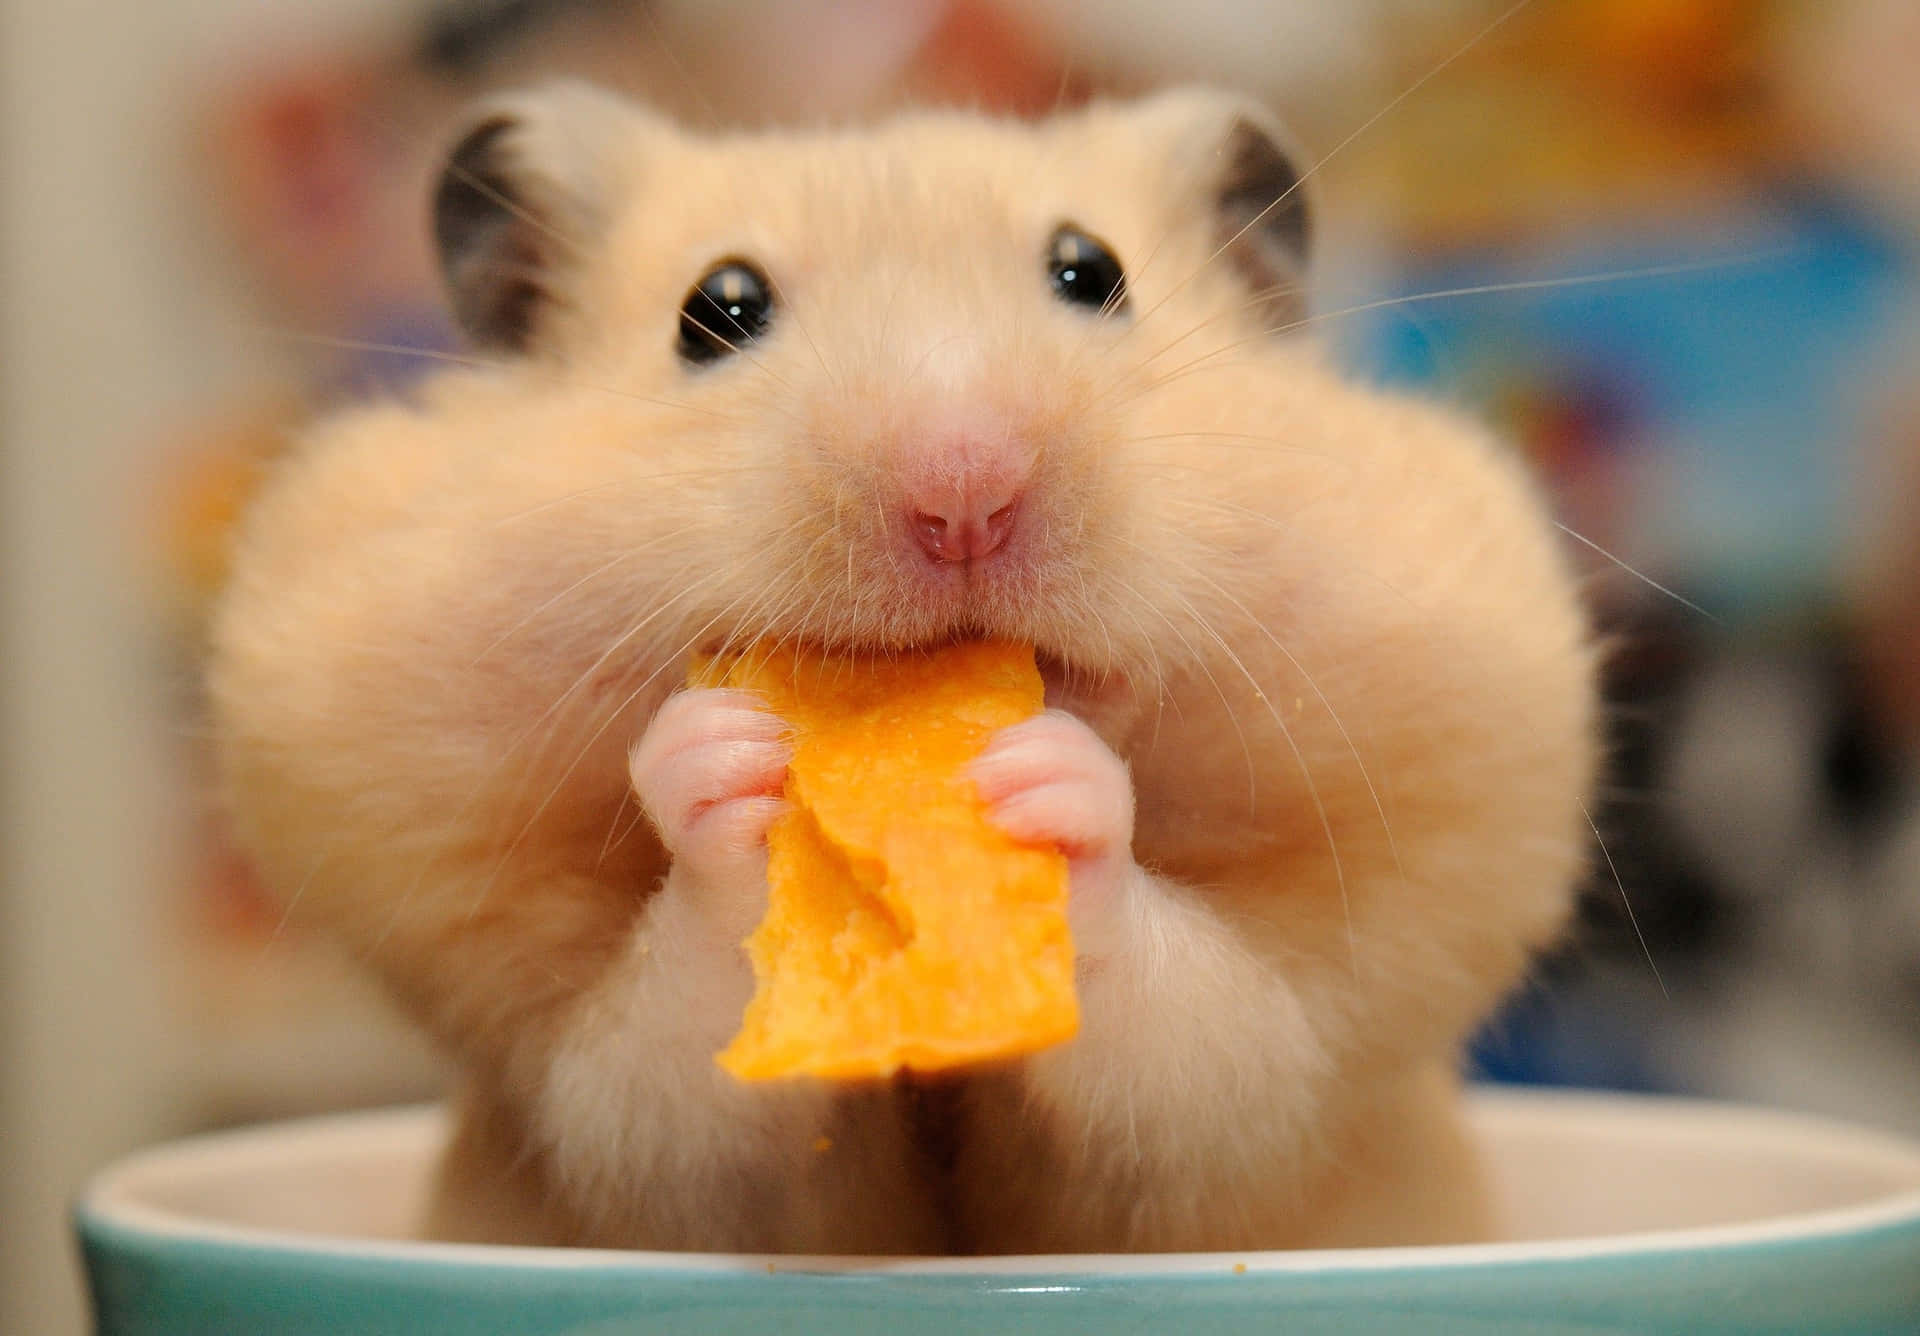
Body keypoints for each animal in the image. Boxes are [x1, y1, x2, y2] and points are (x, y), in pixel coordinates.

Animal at [202, 83, 1597, 1251]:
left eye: (1093, 273)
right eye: (718, 310)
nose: (963, 488)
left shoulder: (1270, 1101)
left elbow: (1199, 1046)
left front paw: (1051, 784)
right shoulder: (589, 1115)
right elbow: (670, 1076)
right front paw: (722, 760)